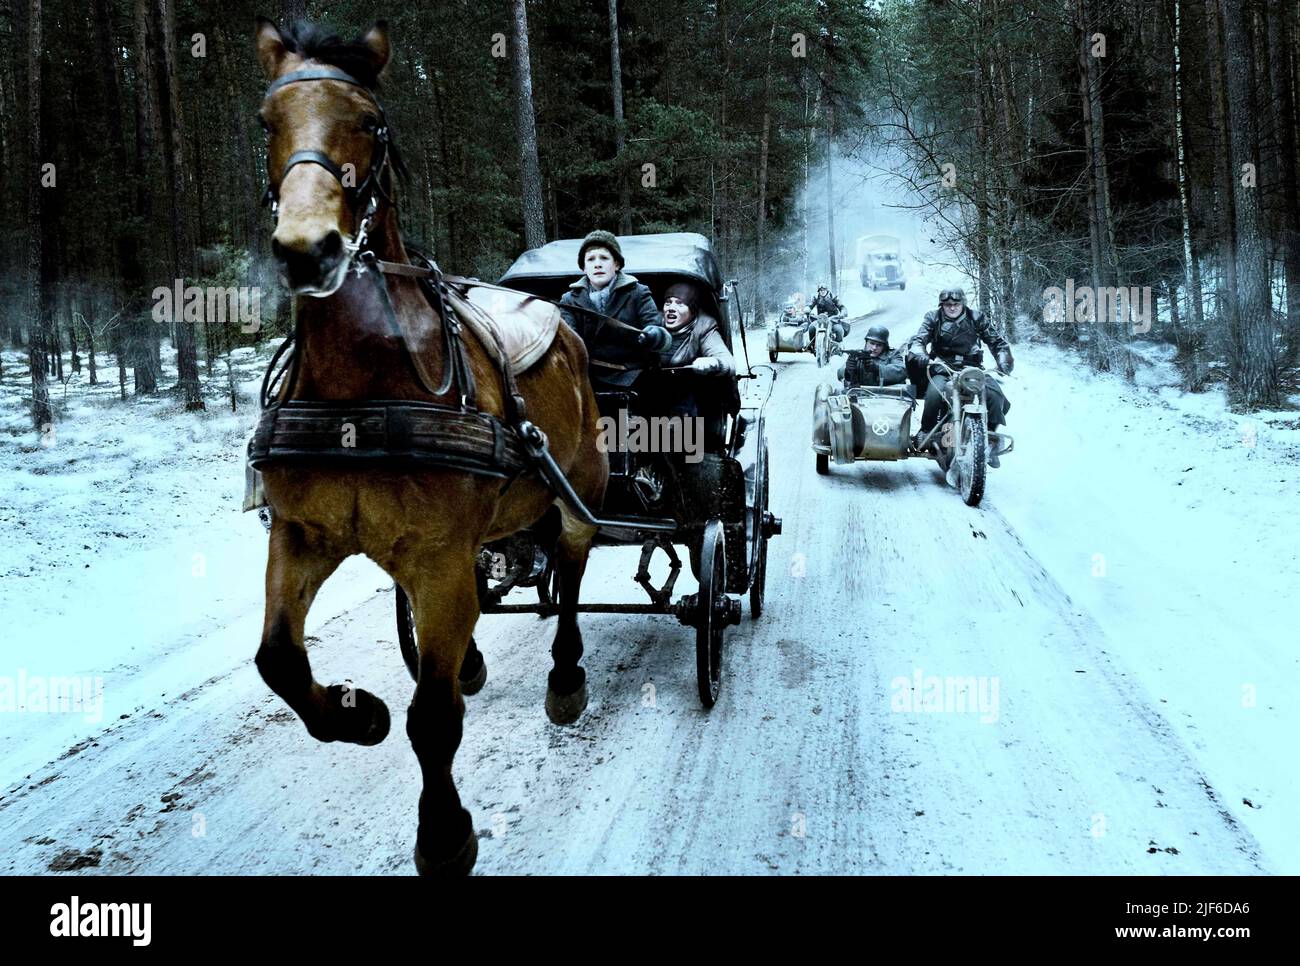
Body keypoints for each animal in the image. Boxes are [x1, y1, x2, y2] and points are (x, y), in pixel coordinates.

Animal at [250, 16, 605, 878]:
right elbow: (279, 659)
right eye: (268, 122)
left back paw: (566, 675)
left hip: (580, 490)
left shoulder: (440, 557)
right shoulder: (302, 534)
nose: (308, 248)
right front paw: (359, 715)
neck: (360, 383)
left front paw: (444, 834)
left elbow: (434, 719)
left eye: (369, 123)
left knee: (572, 573)